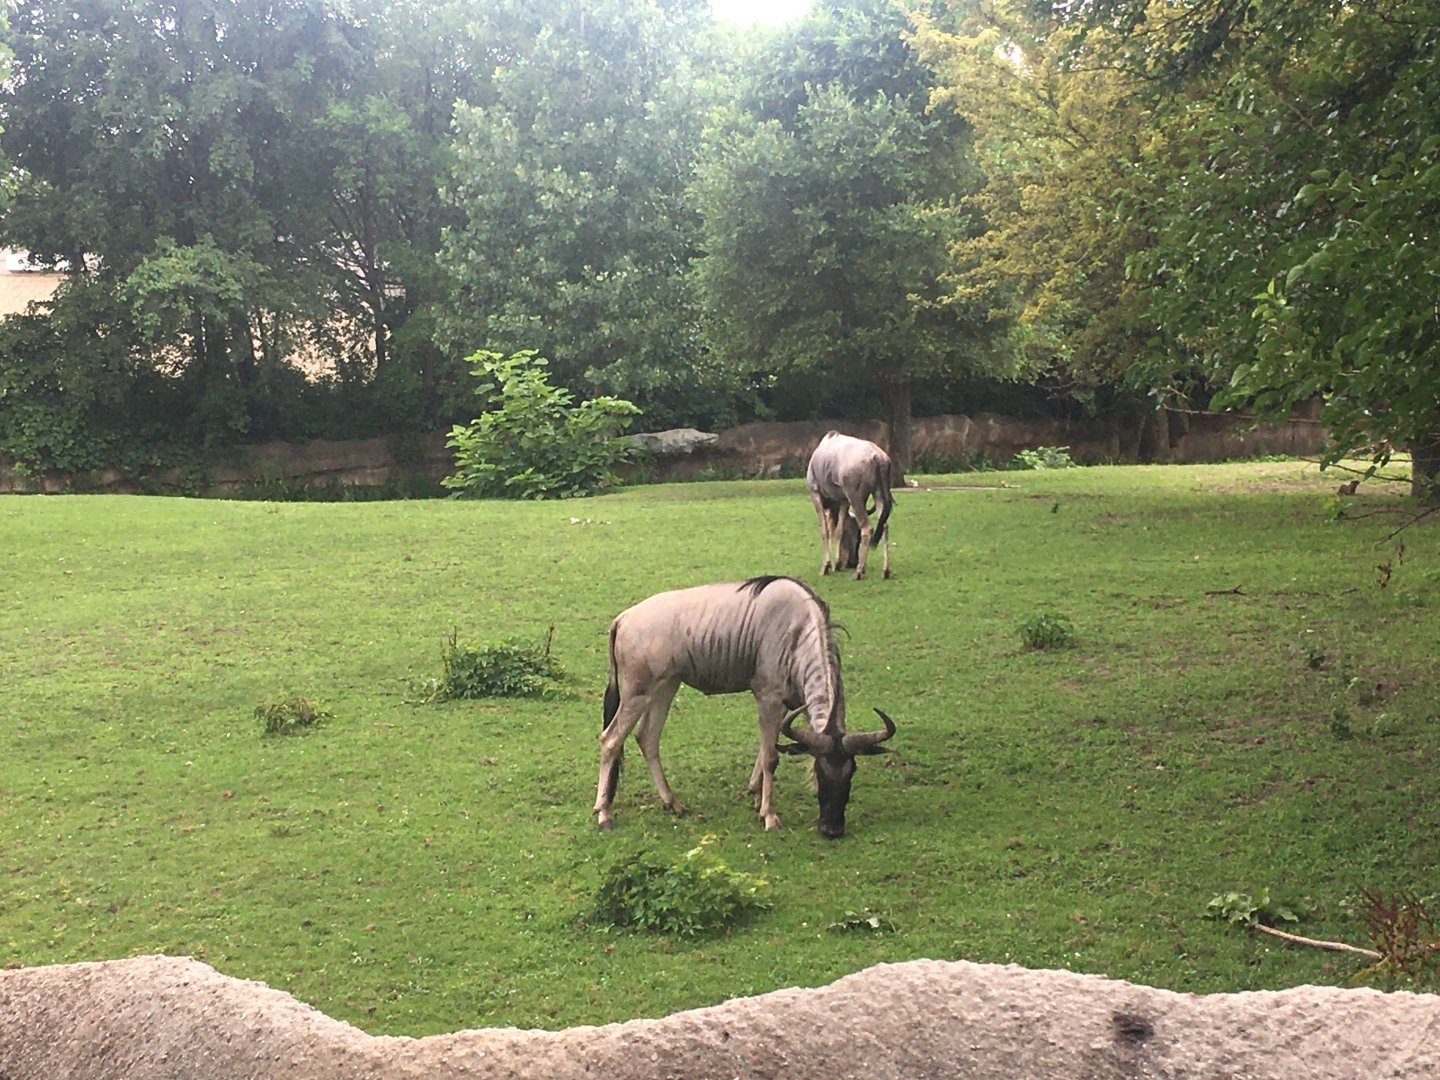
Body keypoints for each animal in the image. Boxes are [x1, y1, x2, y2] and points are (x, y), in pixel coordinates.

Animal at [595, 576, 897, 838]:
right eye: (820, 772)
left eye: (851, 772)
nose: (832, 829)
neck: (798, 631)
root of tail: (623, 618)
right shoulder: (768, 698)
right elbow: (771, 757)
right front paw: (770, 816)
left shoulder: (785, 705)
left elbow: (766, 749)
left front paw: (755, 793)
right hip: (637, 694)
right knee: (611, 739)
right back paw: (604, 814)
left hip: (665, 688)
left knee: (647, 738)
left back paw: (673, 803)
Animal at [807, 431, 894, 580]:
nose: (852, 562)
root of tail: (878, 457)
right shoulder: (843, 501)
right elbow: (838, 531)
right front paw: (836, 564)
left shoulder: (816, 495)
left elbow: (825, 531)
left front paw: (826, 566)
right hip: (878, 494)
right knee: (884, 526)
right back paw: (885, 570)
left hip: (855, 497)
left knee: (867, 527)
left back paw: (858, 571)